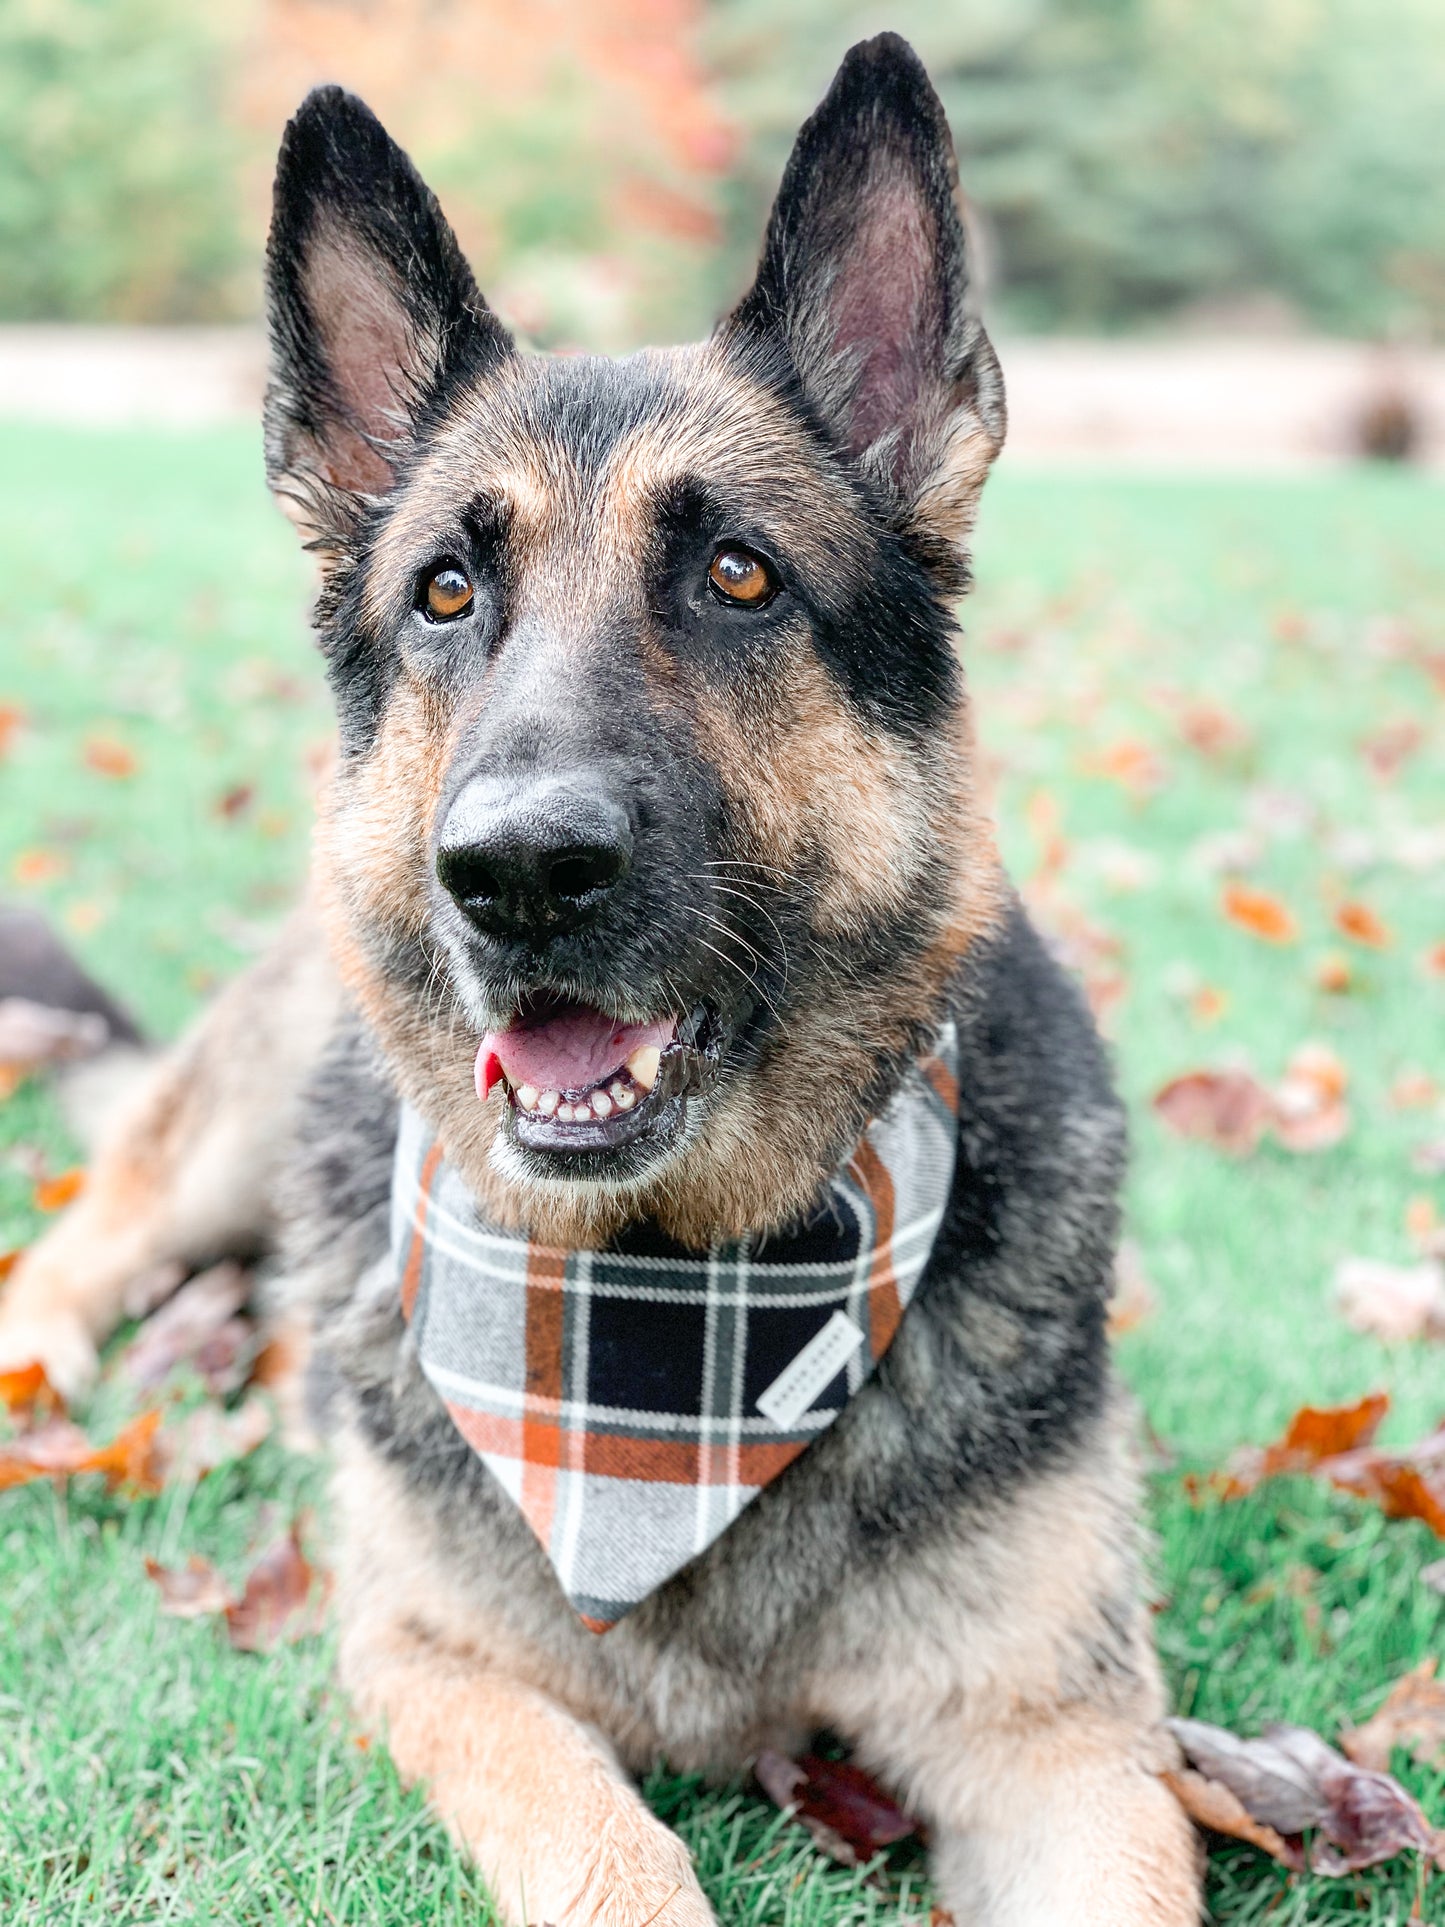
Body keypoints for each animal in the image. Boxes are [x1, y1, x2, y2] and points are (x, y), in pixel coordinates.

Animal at [0, 33, 1202, 1927]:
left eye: (738, 575)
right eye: (444, 591)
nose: (514, 871)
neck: (665, 1309)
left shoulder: (1061, 1739)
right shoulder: (441, 1664)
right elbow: (609, 1854)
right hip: (240, 1117)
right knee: (96, 1218)